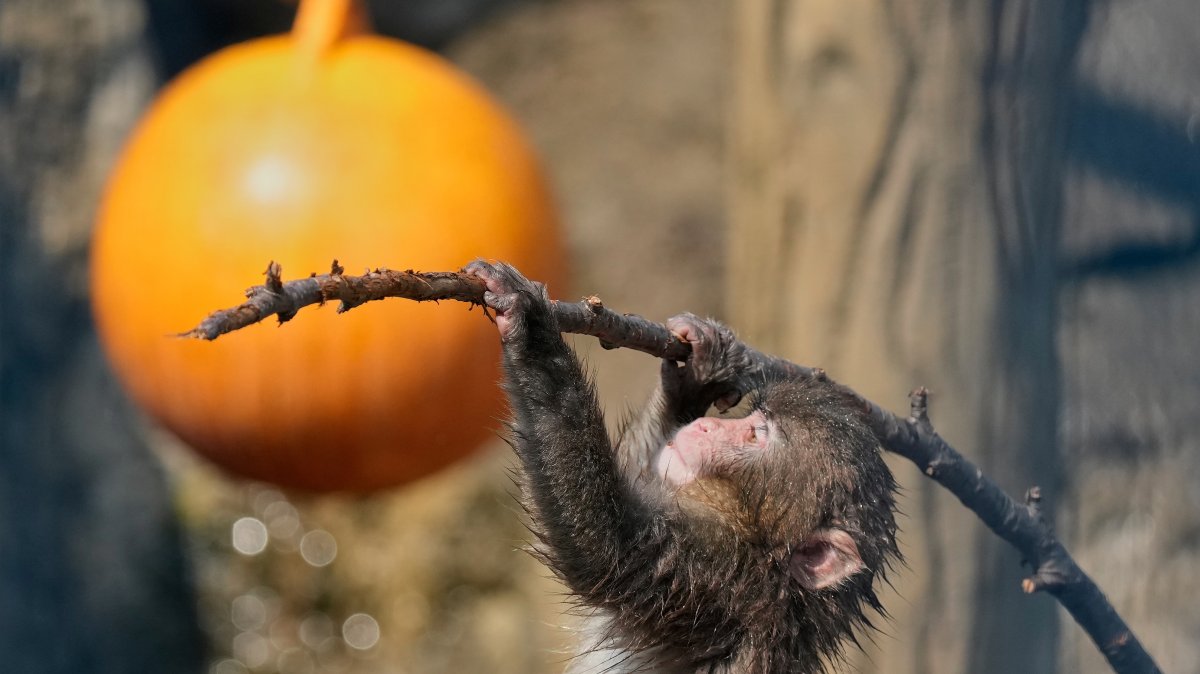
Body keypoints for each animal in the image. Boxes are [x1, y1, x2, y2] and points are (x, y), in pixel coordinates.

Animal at [465, 260, 900, 674]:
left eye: (757, 435)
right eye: (755, 418)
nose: (708, 425)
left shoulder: (718, 577)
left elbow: (604, 544)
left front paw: (530, 322)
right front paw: (698, 376)